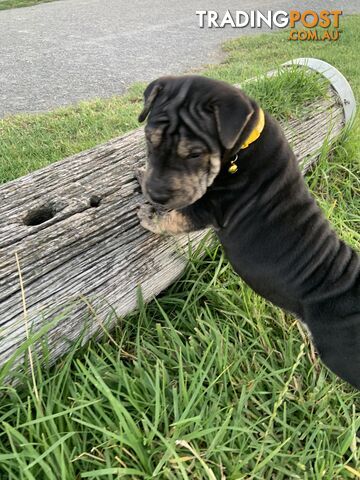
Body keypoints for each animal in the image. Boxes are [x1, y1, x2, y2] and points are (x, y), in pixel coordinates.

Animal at [136, 75, 358, 390]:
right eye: (148, 139)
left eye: (195, 154)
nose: (157, 194)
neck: (246, 142)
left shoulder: (207, 207)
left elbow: (174, 219)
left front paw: (148, 213)